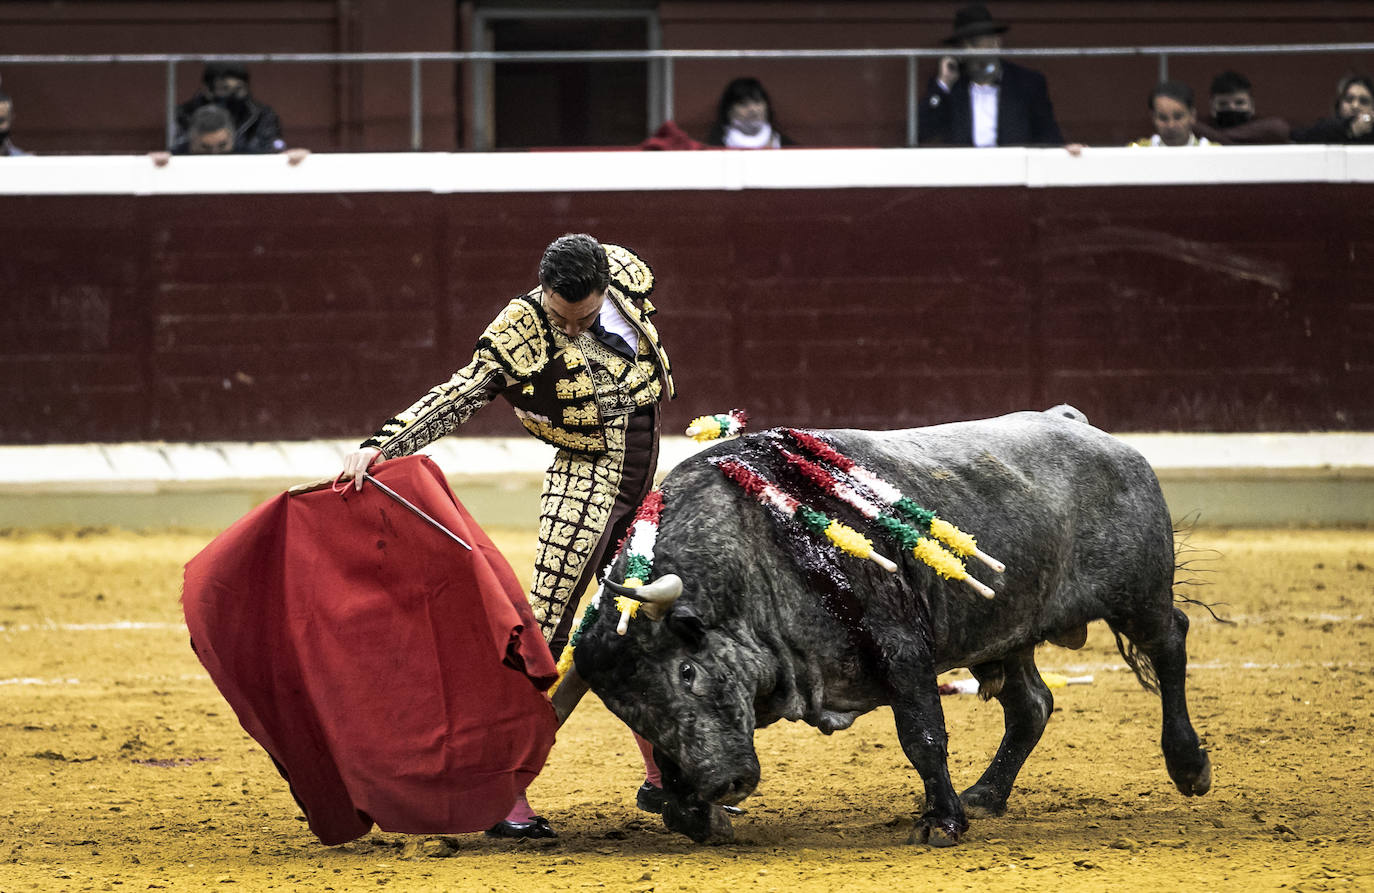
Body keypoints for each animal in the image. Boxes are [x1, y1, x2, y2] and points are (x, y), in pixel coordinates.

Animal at [568, 406, 1214, 846]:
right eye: (628, 711)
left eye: (688, 672)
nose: (724, 784)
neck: (753, 550)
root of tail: (1084, 428)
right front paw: (688, 811)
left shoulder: (900, 645)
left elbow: (922, 735)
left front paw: (941, 822)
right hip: (1005, 634)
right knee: (1032, 704)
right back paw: (987, 795)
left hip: (1139, 595)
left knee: (1171, 643)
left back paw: (1189, 766)